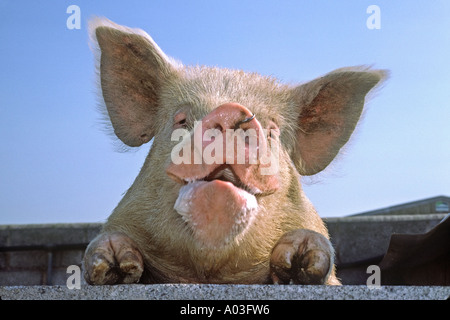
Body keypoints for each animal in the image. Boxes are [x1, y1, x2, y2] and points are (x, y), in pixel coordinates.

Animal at [83, 16, 386, 284]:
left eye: (273, 131)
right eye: (181, 120)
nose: (229, 111)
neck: (209, 276)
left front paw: (301, 255)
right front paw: (113, 260)